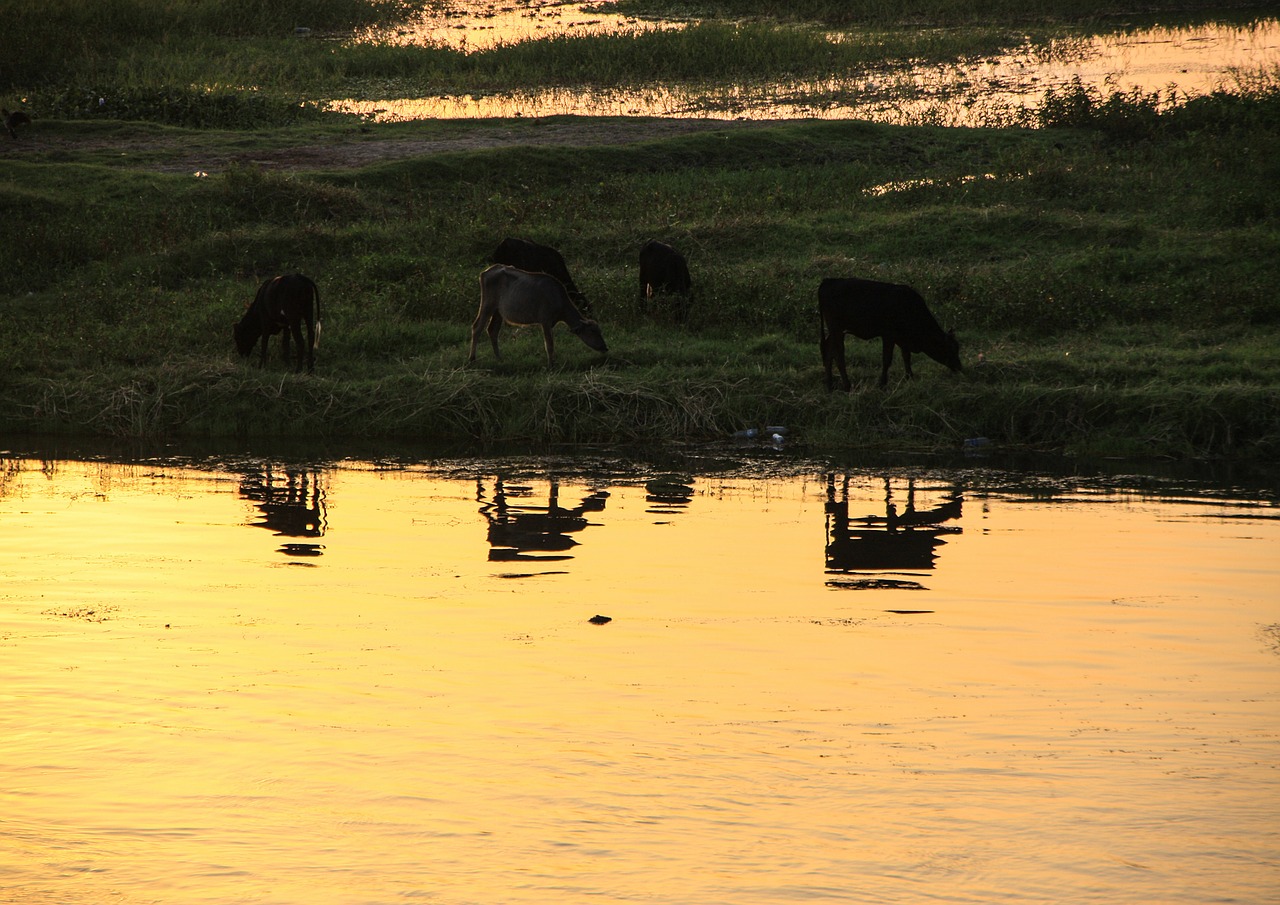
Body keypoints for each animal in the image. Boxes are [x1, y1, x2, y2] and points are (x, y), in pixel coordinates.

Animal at [471, 263, 609, 366]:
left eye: (600, 331)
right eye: (593, 332)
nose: (604, 347)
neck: (558, 299)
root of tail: (486, 272)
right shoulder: (545, 321)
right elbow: (549, 344)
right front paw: (551, 364)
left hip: (498, 312)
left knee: (492, 330)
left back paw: (499, 358)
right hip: (487, 305)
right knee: (477, 327)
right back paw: (472, 359)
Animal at [819, 276, 962, 389]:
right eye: (951, 349)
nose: (960, 367)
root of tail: (828, 281)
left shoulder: (903, 339)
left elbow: (906, 357)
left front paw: (909, 377)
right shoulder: (889, 335)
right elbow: (887, 359)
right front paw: (882, 383)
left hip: (835, 331)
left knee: (829, 351)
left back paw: (830, 385)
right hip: (836, 329)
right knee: (838, 355)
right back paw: (847, 386)